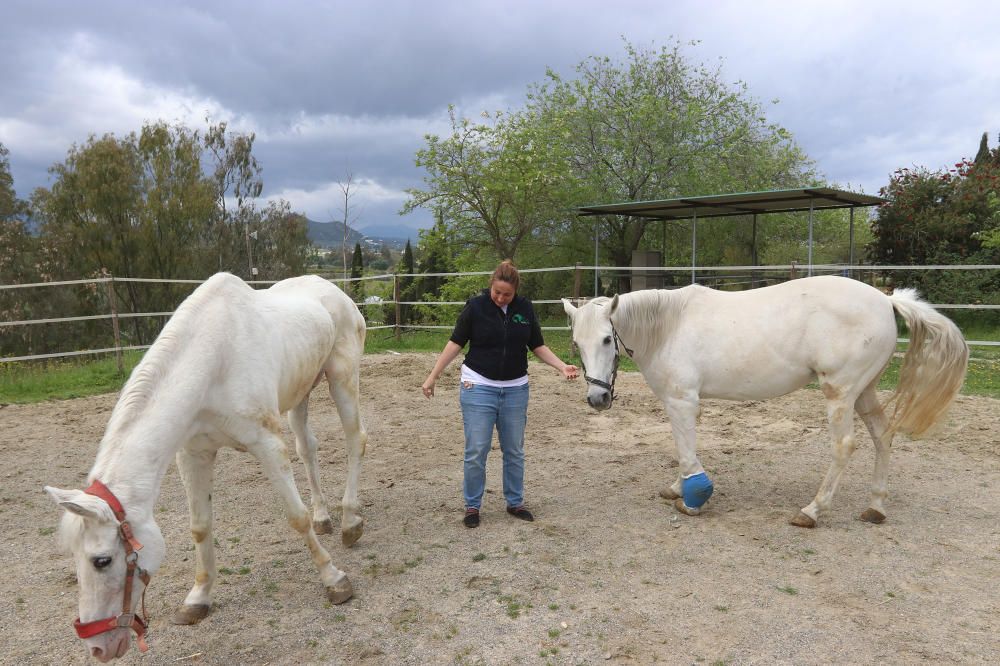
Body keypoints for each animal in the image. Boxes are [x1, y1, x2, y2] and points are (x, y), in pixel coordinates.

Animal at [44, 272, 368, 660]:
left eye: (102, 560)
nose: (97, 648)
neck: (213, 362)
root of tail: (332, 289)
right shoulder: (193, 454)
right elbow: (200, 527)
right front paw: (197, 600)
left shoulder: (267, 444)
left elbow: (296, 517)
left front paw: (334, 580)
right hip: (301, 392)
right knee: (308, 449)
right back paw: (325, 518)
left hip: (342, 378)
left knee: (355, 440)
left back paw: (351, 522)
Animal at [568, 272, 972, 528]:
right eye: (576, 343)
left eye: (607, 339)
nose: (597, 398)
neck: (669, 327)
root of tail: (886, 300)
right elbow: (683, 447)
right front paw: (678, 488)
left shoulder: (682, 401)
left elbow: (685, 448)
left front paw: (692, 498)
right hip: (864, 391)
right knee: (883, 436)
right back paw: (875, 506)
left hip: (840, 393)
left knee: (844, 446)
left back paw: (812, 511)